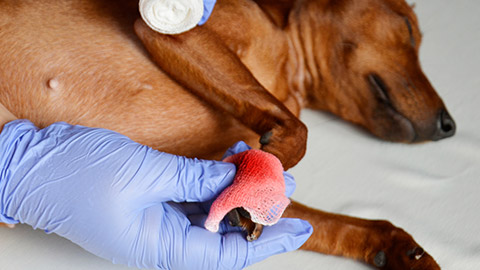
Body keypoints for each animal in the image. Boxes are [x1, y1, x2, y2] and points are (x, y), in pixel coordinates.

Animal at [0, 0, 452, 268]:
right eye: (408, 28)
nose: (450, 126)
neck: (289, 69)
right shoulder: (175, 30)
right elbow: (298, 131)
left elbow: (348, 225)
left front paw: (405, 251)